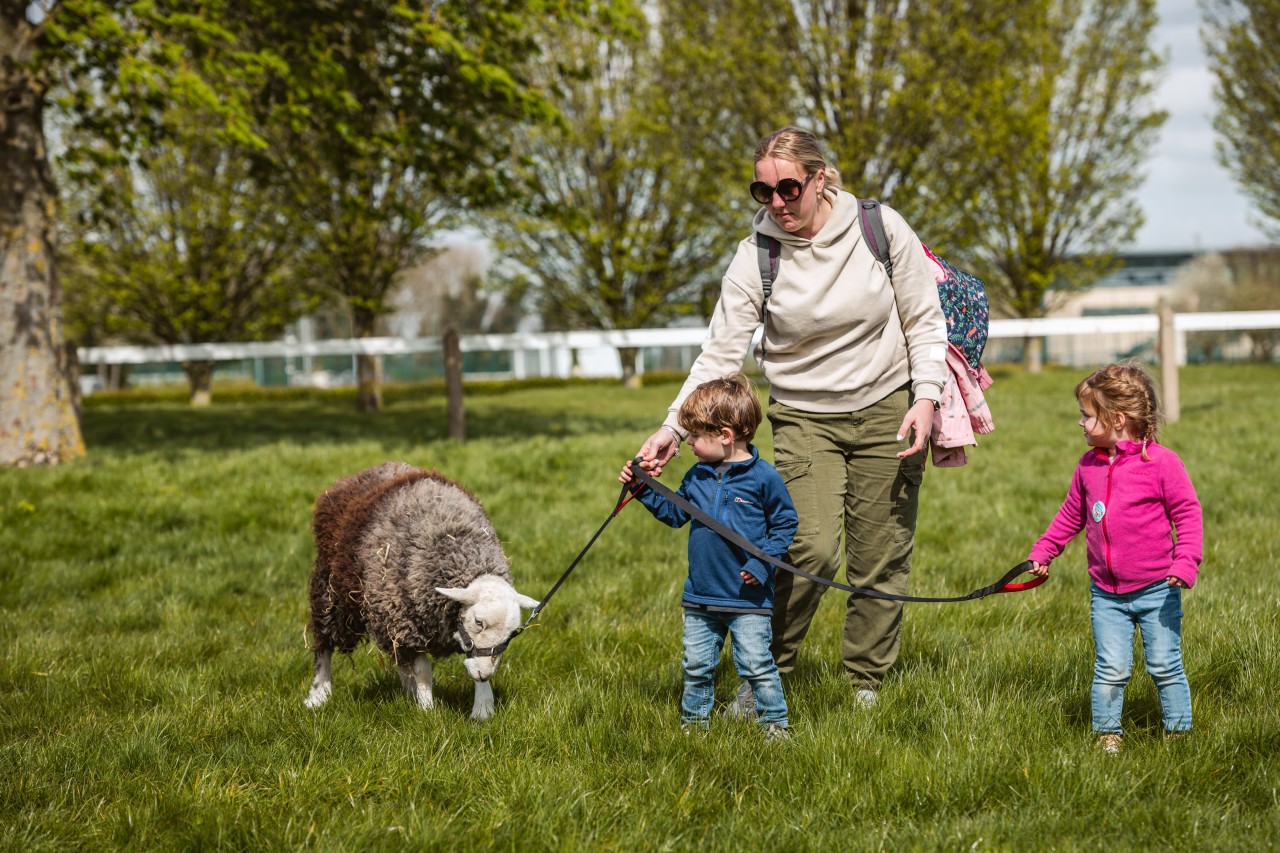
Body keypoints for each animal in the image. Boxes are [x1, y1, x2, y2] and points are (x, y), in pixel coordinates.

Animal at [305, 461, 540, 712]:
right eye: (478, 622)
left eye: (512, 634)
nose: (484, 674)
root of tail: (377, 468)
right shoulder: (408, 622)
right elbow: (424, 671)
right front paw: (427, 709)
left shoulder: (406, 621)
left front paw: (483, 708)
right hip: (333, 590)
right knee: (324, 643)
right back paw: (318, 694)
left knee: (400, 656)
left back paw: (408, 691)